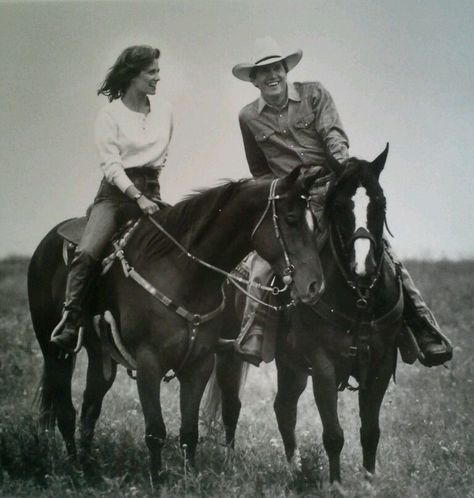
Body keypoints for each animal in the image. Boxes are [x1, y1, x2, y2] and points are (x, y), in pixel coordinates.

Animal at [27, 166, 324, 482]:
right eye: (291, 219)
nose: (315, 285)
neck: (184, 272)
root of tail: (45, 245)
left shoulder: (199, 364)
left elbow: (189, 432)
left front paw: (189, 478)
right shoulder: (149, 363)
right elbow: (156, 431)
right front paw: (157, 480)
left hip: (100, 356)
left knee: (90, 407)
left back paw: (88, 465)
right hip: (54, 350)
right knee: (65, 410)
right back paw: (75, 468)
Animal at [204, 145, 404, 486]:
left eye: (380, 203)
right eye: (339, 206)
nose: (362, 266)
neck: (358, 299)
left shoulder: (380, 364)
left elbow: (370, 432)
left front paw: (368, 482)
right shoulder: (323, 365)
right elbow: (334, 434)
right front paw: (336, 485)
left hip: (291, 364)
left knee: (283, 407)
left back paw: (295, 469)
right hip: (230, 352)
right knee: (233, 405)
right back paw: (229, 462)